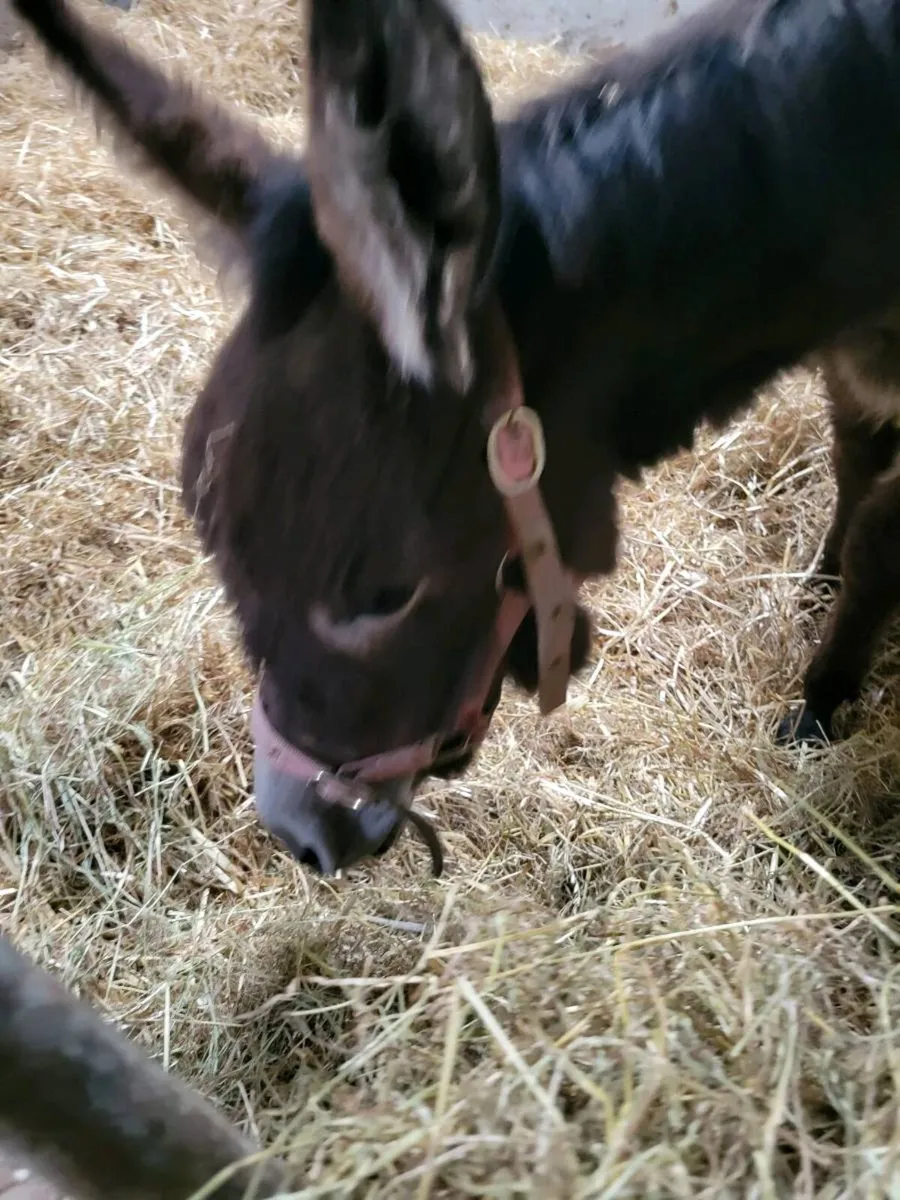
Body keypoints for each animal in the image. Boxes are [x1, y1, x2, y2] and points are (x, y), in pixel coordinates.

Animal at [11, 0, 900, 877]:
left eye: (386, 594)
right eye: (212, 537)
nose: (301, 834)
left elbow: (876, 546)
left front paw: (821, 701)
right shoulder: (848, 353)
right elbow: (854, 463)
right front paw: (823, 600)